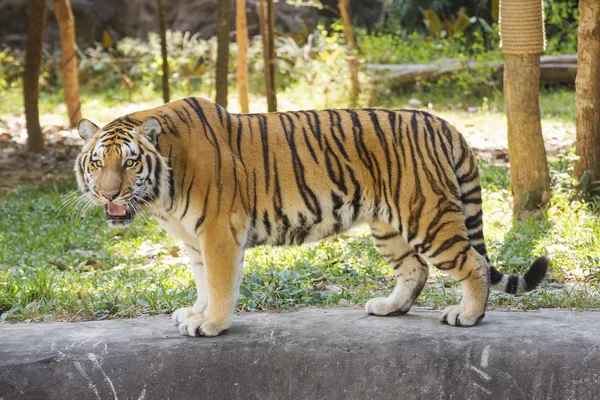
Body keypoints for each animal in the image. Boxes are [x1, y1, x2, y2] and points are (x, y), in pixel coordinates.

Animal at [75, 97, 548, 338]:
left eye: (130, 162)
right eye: (98, 163)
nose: (108, 193)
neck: (161, 194)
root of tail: (443, 123)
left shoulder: (218, 233)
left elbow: (221, 284)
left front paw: (210, 325)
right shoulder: (194, 241)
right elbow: (203, 282)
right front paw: (195, 312)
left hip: (426, 215)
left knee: (474, 264)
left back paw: (467, 316)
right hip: (388, 226)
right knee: (415, 271)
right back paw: (388, 308)